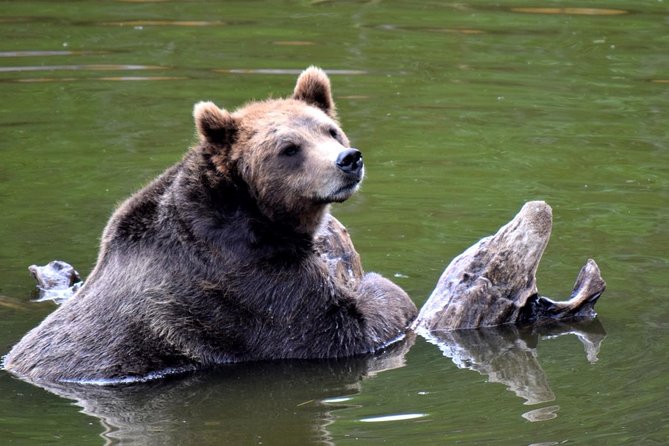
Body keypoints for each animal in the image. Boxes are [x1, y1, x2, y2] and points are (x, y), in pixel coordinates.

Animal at [2, 66, 414, 384]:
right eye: (289, 148)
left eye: (329, 130)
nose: (348, 159)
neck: (254, 212)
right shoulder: (247, 281)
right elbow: (343, 327)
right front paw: (377, 283)